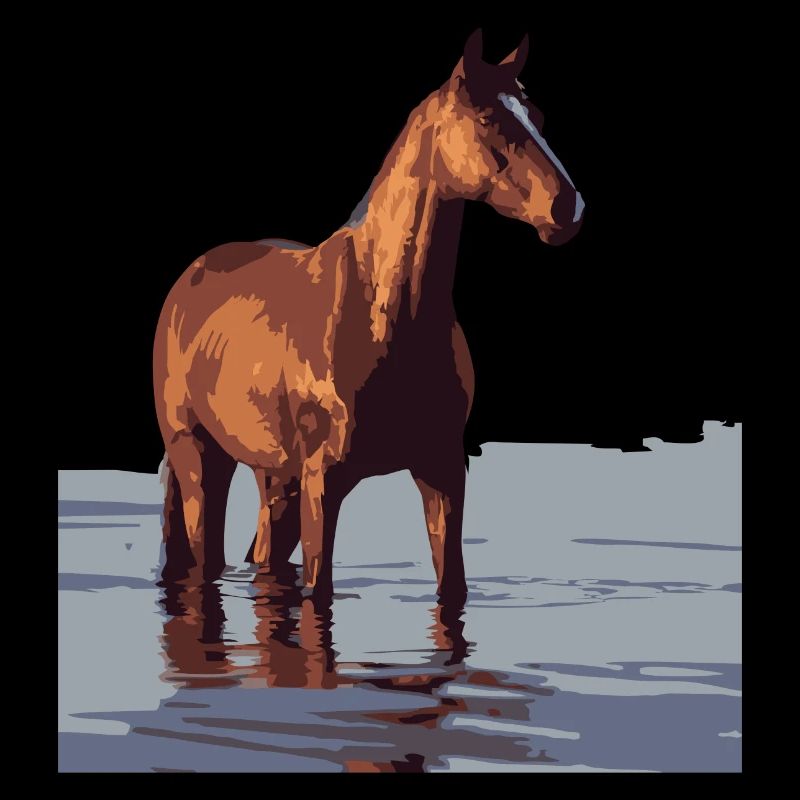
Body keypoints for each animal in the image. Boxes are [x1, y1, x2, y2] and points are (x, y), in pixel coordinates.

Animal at [153, 29, 584, 603]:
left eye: (536, 114)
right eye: (489, 119)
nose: (568, 210)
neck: (382, 313)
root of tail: (190, 278)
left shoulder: (443, 473)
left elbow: (451, 588)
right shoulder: (324, 483)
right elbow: (320, 593)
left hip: (276, 477)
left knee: (265, 555)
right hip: (200, 457)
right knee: (206, 556)